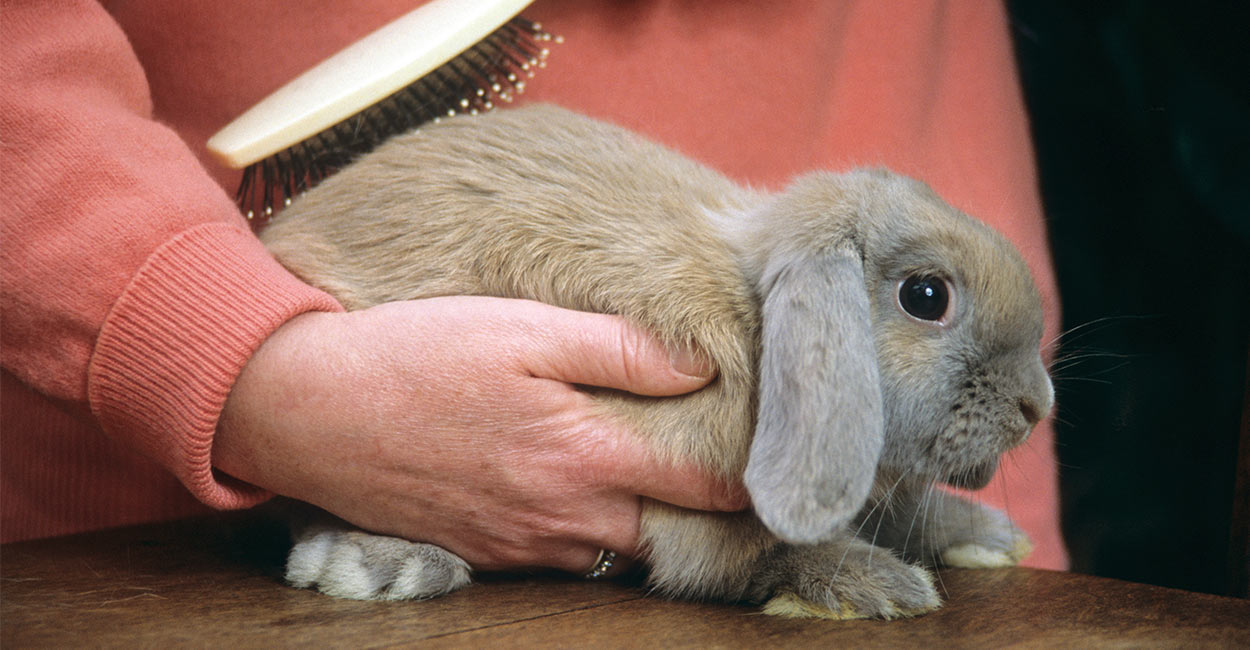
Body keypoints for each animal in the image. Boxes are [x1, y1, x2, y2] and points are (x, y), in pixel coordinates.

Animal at [258, 103, 1050, 620]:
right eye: (926, 296)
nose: (1037, 404)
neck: (754, 320)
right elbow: (748, 557)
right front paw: (878, 586)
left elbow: (907, 509)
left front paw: (987, 540)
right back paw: (382, 564)